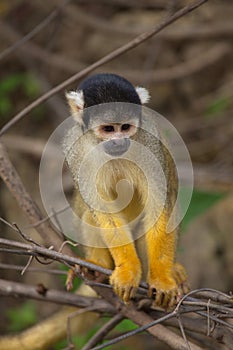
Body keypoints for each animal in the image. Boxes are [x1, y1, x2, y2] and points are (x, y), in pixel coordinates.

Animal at [64, 72, 189, 308]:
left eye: (125, 128)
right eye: (108, 129)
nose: (118, 141)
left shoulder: (149, 140)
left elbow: (160, 207)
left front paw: (161, 279)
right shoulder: (76, 149)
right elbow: (104, 213)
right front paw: (128, 271)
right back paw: (97, 267)